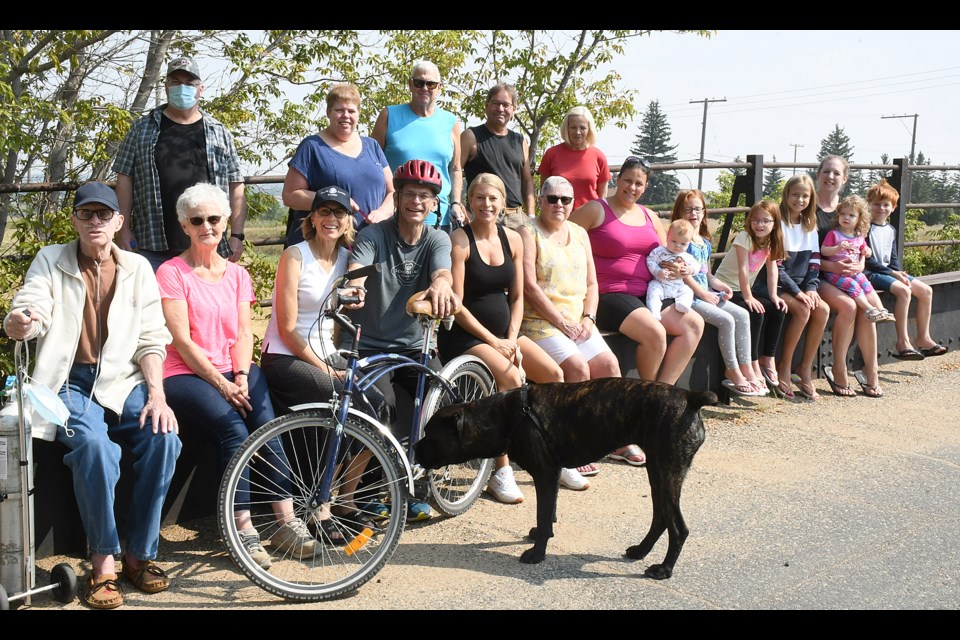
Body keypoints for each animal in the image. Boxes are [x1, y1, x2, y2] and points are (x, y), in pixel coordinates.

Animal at [416, 378, 716, 576]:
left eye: (431, 436)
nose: (416, 447)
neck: (503, 417)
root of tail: (690, 397)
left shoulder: (545, 475)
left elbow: (543, 513)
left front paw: (537, 554)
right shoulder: (552, 474)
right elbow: (549, 514)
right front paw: (542, 535)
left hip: (666, 473)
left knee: (678, 528)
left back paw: (664, 569)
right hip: (659, 475)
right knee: (661, 518)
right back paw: (641, 552)